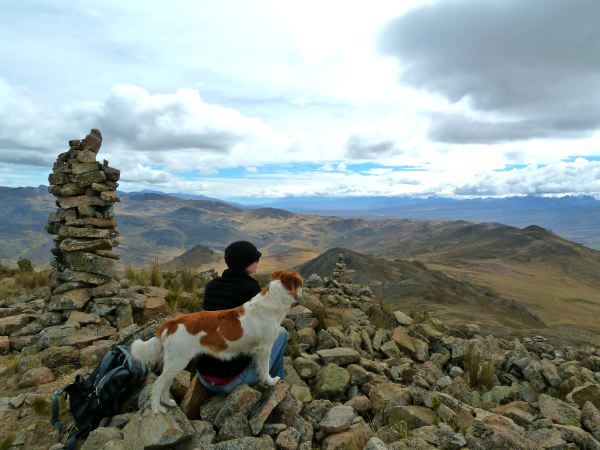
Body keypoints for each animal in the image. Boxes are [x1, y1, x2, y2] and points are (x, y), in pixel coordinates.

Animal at [129, 268, 302, 414]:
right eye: (300, 284)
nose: (301, 293)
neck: (272, 301)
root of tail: (173, 321)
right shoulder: (265, 349)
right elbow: (265, 369)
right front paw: (271, 381)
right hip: (178, 360)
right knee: (158, 384)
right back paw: (156, 408)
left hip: (174, 362)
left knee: (166, 383)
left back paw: (167, 402)